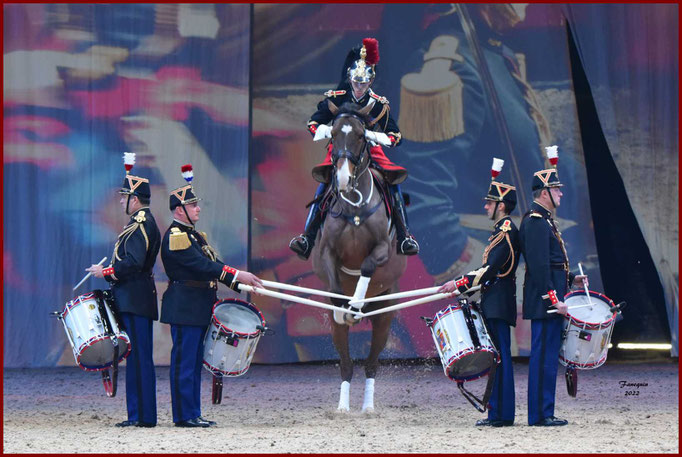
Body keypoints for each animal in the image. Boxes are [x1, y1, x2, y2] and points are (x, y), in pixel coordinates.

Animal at [310, 100, 406, 414]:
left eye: (362, 136)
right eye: (332, 135)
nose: (341, 178)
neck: (354, 207)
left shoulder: (382, 250)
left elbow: (366, 265)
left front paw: (356, 302)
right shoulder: (327, 253)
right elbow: (335, 286)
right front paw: (344, 307)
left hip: (385, 315)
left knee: (371, 365)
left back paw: (367, 406)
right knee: (347, 365)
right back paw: (343, 407)